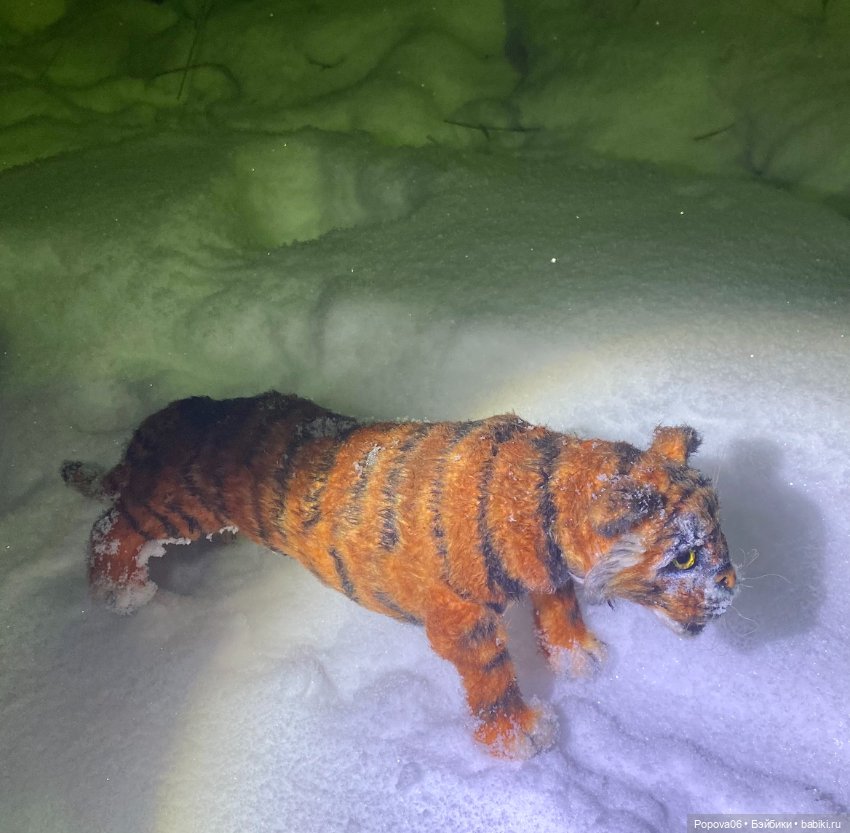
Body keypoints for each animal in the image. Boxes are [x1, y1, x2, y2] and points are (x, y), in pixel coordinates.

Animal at [61, 391, 737, 759]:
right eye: (685, 558)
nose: (730, 595)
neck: (544, 500)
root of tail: (160, 420)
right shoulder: (462, 621)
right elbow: (494, 681)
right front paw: (520, 739)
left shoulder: (547, 577)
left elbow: (560, 608)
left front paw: (582, 658)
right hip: (176, 506)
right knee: (110, 524)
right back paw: (120, 594)